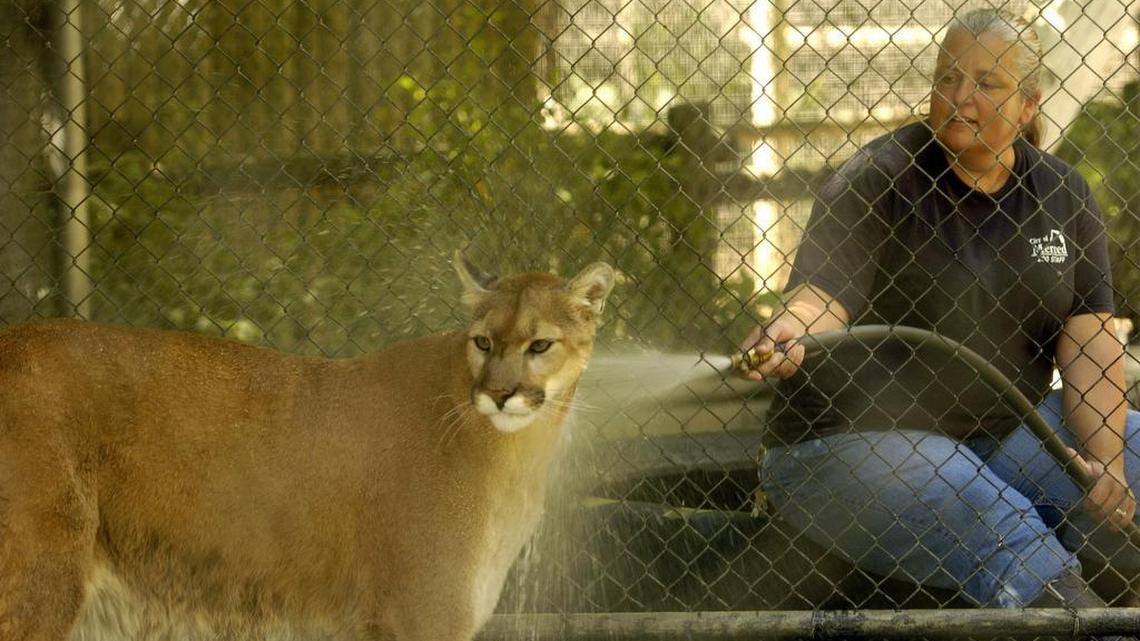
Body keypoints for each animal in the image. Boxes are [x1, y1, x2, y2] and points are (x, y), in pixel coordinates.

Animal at [0, 252, 615, 641]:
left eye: (540, 345)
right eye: (483, 342)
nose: (499, 394)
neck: (516, 452)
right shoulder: (426, 615)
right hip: (39, 580)